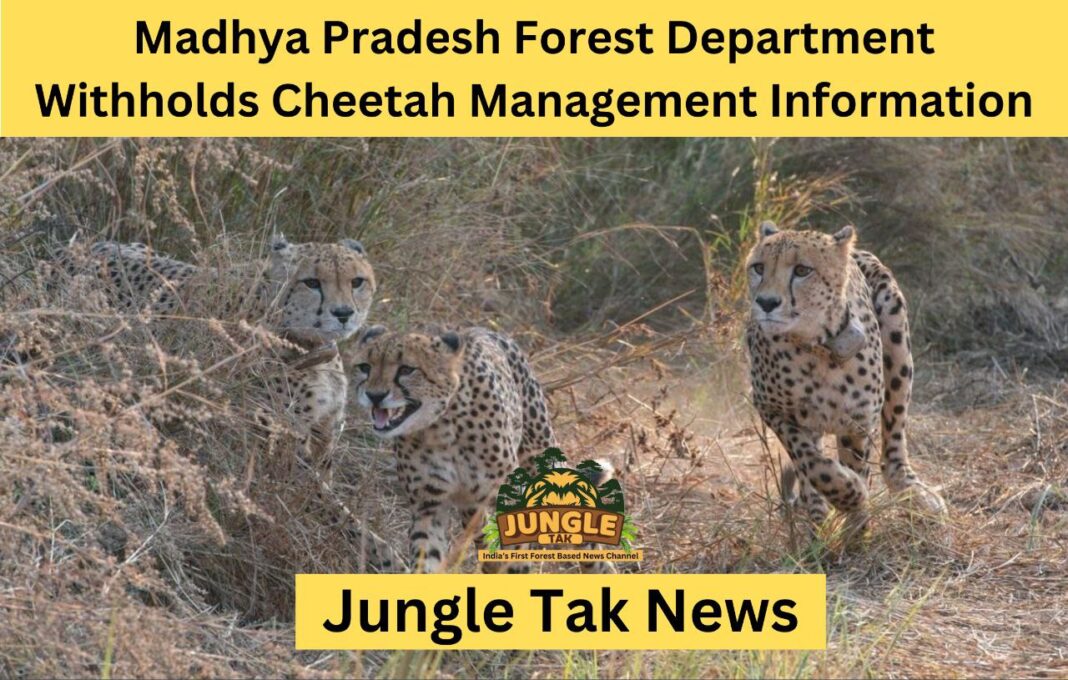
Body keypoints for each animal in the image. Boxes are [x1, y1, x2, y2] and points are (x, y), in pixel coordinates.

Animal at [347, 324, 614, 573]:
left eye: (406, 369)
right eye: (365, 367)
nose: (374, 395)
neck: (439, 428)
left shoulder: (505, 498)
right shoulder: (428, 506)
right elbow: (427, 556)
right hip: (471, 505)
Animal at [744, 221, 946, 536]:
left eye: (802, 270)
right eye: (758, 268)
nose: (766, 302)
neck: (815, 348)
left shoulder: (857, 421)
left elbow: (855, 463)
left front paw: (856, 525)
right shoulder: (770, 407)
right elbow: (810, 460)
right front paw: (845, 496)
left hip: (897, 340)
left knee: (893, 443)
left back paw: (913, 492)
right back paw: (816, 516)